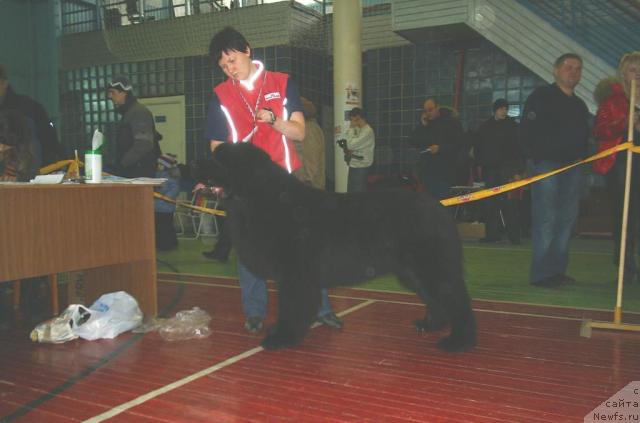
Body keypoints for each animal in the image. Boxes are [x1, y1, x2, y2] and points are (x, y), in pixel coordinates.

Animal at [205, 142, 476, 352]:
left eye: (216, 160)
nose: (196, 166)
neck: (262, 197)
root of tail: (438, 207)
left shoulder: (295, 276)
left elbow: (291, 307)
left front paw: (282, 337)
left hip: (432, 267)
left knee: (456, 300)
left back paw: (458, 341)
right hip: (414, 272)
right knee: (435, 299)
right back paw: (429, 325)